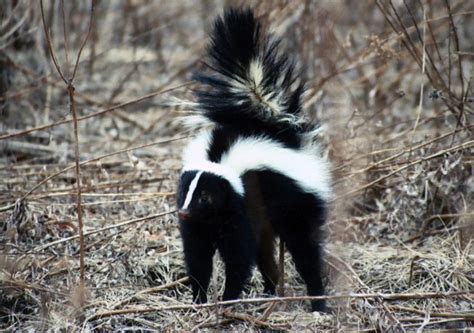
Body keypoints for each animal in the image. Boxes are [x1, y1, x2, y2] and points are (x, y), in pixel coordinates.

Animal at [176, 7, 332, 312]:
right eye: (184, 193)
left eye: (205, 197)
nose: (184, 212)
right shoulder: (201, 225)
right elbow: (198, 258)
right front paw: (199, 300)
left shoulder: (242, 204)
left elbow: (239, 257)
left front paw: (227, 299)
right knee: (266, 254)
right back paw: (270, 292)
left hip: (296, 205)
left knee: (305, 250)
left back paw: (318, 302)